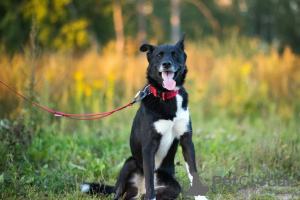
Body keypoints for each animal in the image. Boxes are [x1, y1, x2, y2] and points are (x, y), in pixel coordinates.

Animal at [82, 33, 209, 199]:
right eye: (159, 55)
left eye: (175, 54)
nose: (166, 64)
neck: (166, 96)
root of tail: (138, 191)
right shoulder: (149, 146)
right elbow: (149, 180)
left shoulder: (186, 140)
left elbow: (193, 172)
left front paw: (201, 196)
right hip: (129, 164)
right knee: (119, 194)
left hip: (174, 188)